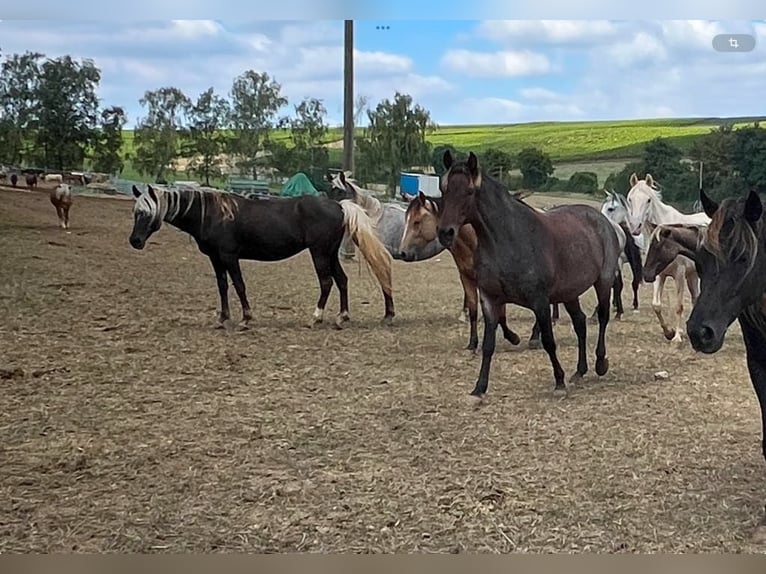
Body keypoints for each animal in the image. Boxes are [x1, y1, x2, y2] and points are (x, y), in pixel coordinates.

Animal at [128, 183, 396, 328]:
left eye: (146, 212)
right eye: (135, 212)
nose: (135, 241)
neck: (213, 214)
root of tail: (338, 205)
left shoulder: (229, 256)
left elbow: (239, 285)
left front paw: (246, 318)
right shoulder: (215, 259)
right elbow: (223, 286)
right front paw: (222, 318)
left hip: (319, 253)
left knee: (326, 282)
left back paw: (315, 318)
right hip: (329, 254)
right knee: (341, 280)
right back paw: (342, 317)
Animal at [436, 151, 620, 402]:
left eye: (469, 191)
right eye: (443, 189)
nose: (445, 233)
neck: (509, 239)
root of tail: (602, 220)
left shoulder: (540, 301)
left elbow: (549, 341)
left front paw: (559, 382)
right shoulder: (490, 300)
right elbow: (488, 345)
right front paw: (479, 388)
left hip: (603, 282)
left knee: (602, 318)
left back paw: (600, 363)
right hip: (569, 293)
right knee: (580, 323)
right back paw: (580, 371)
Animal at [628, 173, 712, 344]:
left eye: (648, 200)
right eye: (630, 199)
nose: (635, 227)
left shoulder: (679, 274)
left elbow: (678, 306)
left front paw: (677, 337)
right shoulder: (658, 274)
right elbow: (656, 305)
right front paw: (669, 332)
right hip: (692, 275)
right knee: (695, 298)